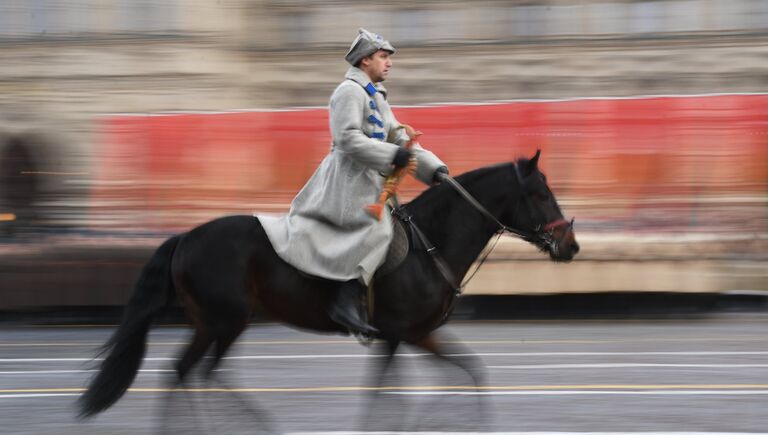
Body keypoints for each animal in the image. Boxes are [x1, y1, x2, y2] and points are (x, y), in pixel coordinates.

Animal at [79, 149, 576, 418]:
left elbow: (462, 373)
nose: (569, 245)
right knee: (195, 373)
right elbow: (398, 393)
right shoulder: (405, 333)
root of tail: (185, 237)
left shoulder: (408, 336)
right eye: (538, 193)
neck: (430, 242)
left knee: (187, 372)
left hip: (213, 325)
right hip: (225, 323)